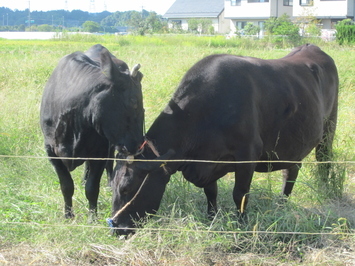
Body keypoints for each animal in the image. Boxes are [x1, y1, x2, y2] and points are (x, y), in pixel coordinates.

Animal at [41, 44, 146, 220]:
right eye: (134, 102)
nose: (139, 145)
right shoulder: (51, 150)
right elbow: (66, 185)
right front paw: (68, 215)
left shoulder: (99, 150)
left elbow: (92, 188)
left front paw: (92, 217)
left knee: (109, 163)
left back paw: (109, 182)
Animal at [108, 44, 340, 235]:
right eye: (112, 187)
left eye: (126, 188)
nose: (116, 228)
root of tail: (312, 47)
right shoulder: (207, 160)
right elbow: (211, 192)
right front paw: (212, 217)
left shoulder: (248, 153)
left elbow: (240, 194)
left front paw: (241, 224)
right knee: (290, 172)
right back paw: (282, 204)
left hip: (329, 127)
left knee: (324, 159)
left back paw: (326, 191)